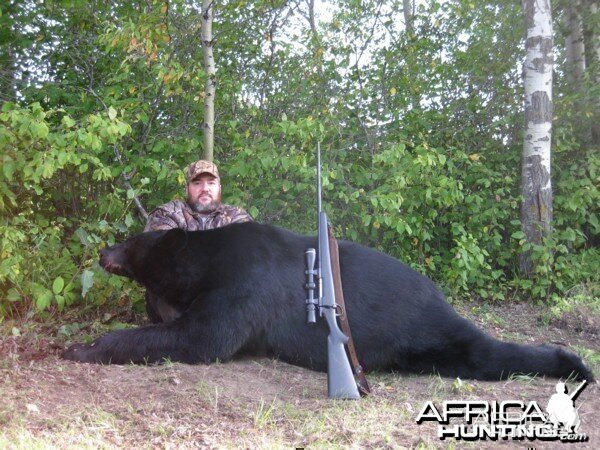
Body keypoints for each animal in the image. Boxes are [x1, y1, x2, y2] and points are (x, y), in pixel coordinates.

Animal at [63, 223, 592, 382]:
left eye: (132, 240)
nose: (103, 250)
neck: (206, 257)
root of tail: (436, 293)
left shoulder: (245, 283)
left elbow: (205, 336)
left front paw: (84, 347)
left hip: (422, 321)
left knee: (484, 351)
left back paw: (573, 363)